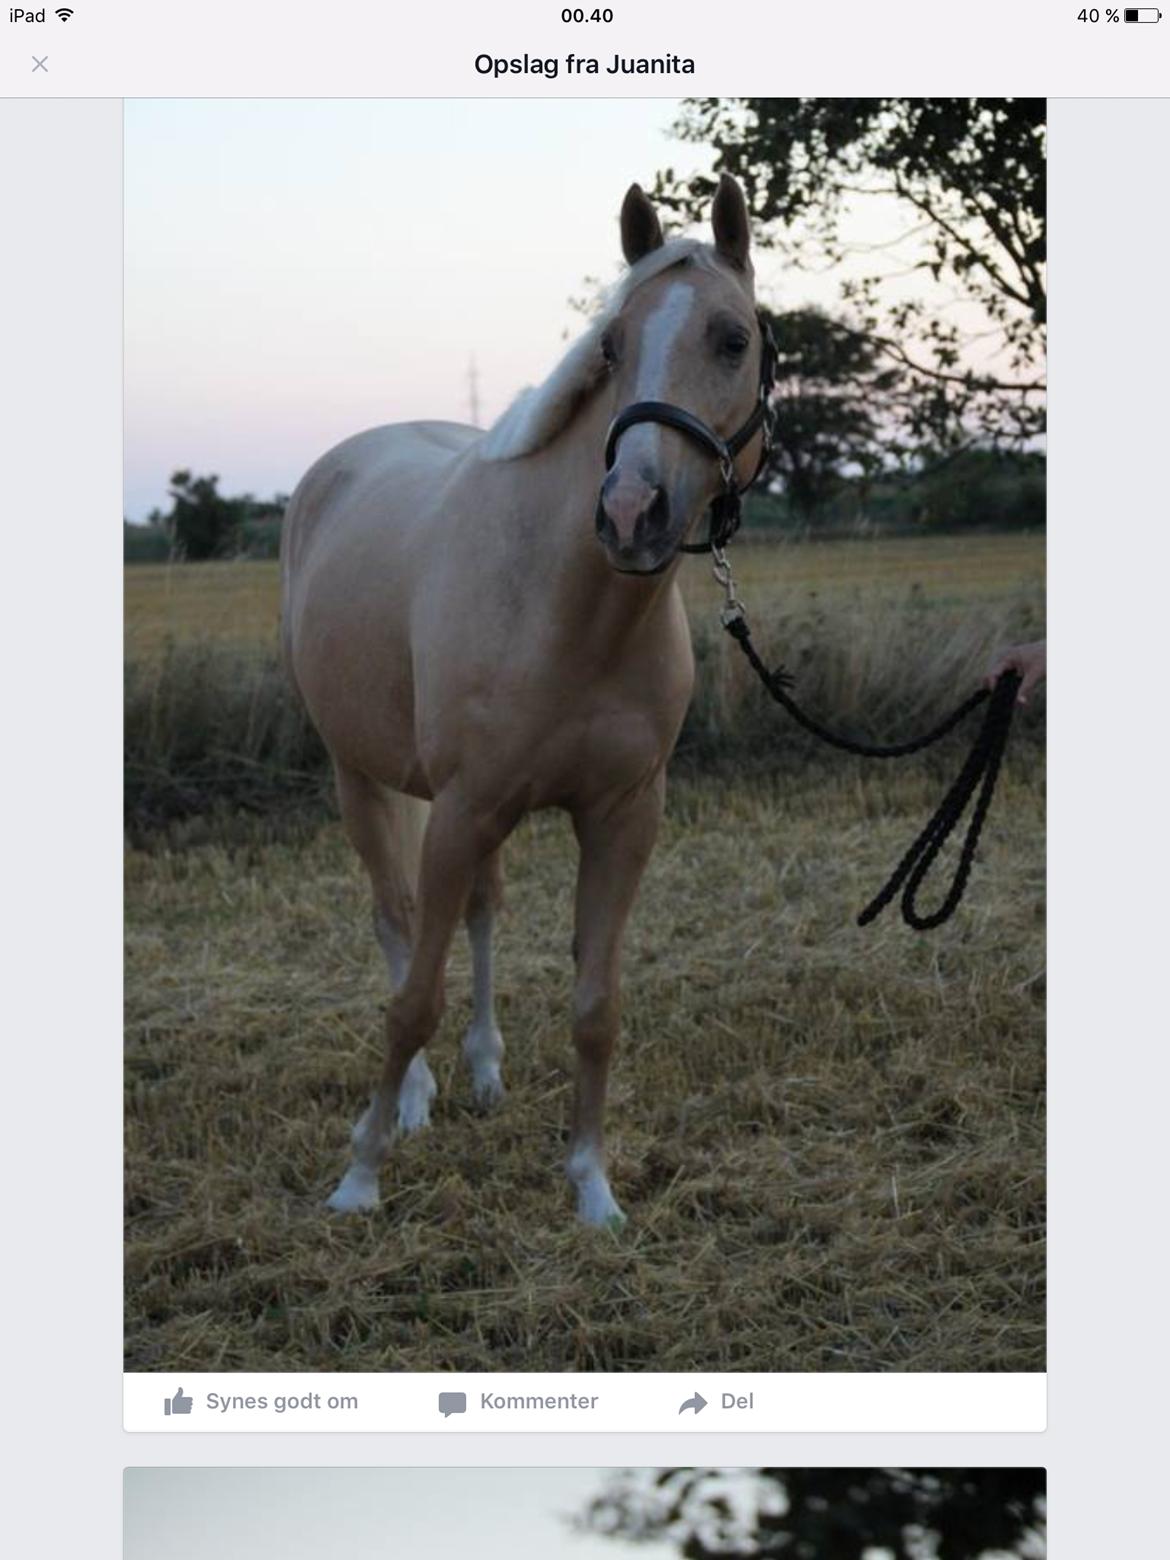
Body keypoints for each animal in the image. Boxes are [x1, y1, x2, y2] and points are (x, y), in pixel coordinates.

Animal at [282, 170, 773, 1216]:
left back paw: (484, 1071)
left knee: (479, 913)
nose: (630, 514)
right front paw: (359, 1178)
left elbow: (595, 1005)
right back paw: (416, 1102)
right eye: (612, 346)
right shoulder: (463, 807)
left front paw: (592, 1189)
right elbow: (409, 1002)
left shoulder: (621, 816)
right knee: (397, 920)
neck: (569, 610)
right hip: (362, 777)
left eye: (732, 338)